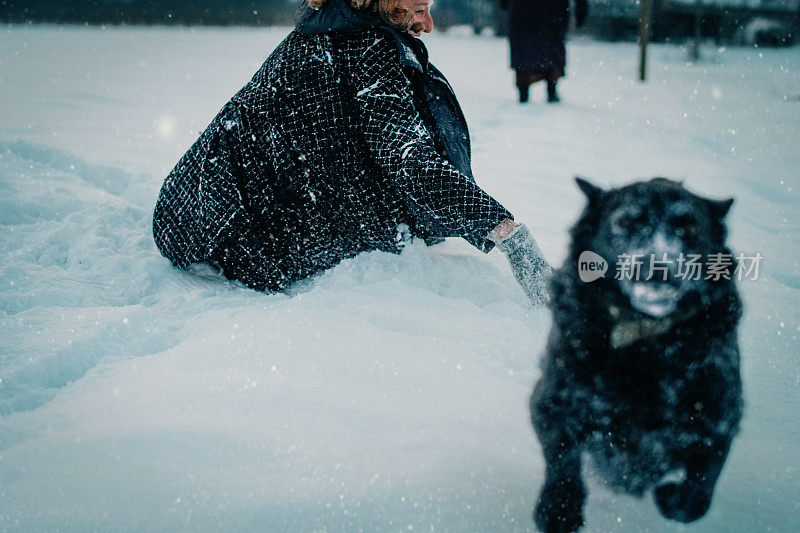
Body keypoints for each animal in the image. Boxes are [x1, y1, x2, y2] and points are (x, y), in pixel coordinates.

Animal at [532, 179, 744, 532]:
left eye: (689, 227)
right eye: (626, 221)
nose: (657, 270)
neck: (646, 345)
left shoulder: (719, 421)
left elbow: (696, 497)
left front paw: (670, 496)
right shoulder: (553, 403)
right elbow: (563, 458)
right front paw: (559, 509)